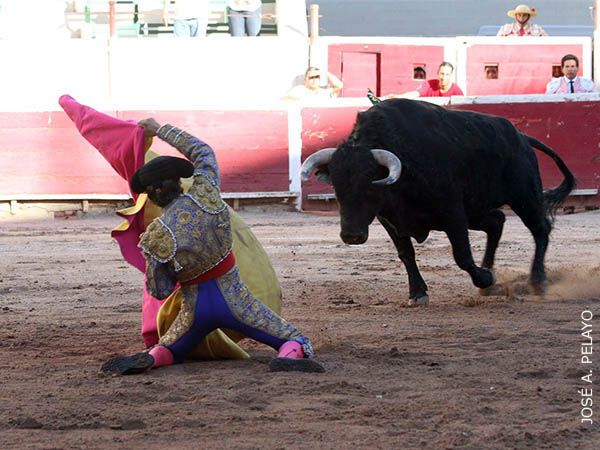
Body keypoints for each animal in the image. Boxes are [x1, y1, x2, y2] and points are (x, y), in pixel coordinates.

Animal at [300, 99, 576, 305]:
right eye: (337, 187)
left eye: (369, 185)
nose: (352, 236)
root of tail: (521, 136)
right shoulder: (389, 218)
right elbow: (406, 254)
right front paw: (417, 293)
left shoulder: (453, 213)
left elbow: (462, 256)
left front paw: (486, 278)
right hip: (477, 209)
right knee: (497, 222)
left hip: (524, 196)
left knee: (540, 230)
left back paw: (537, 282)